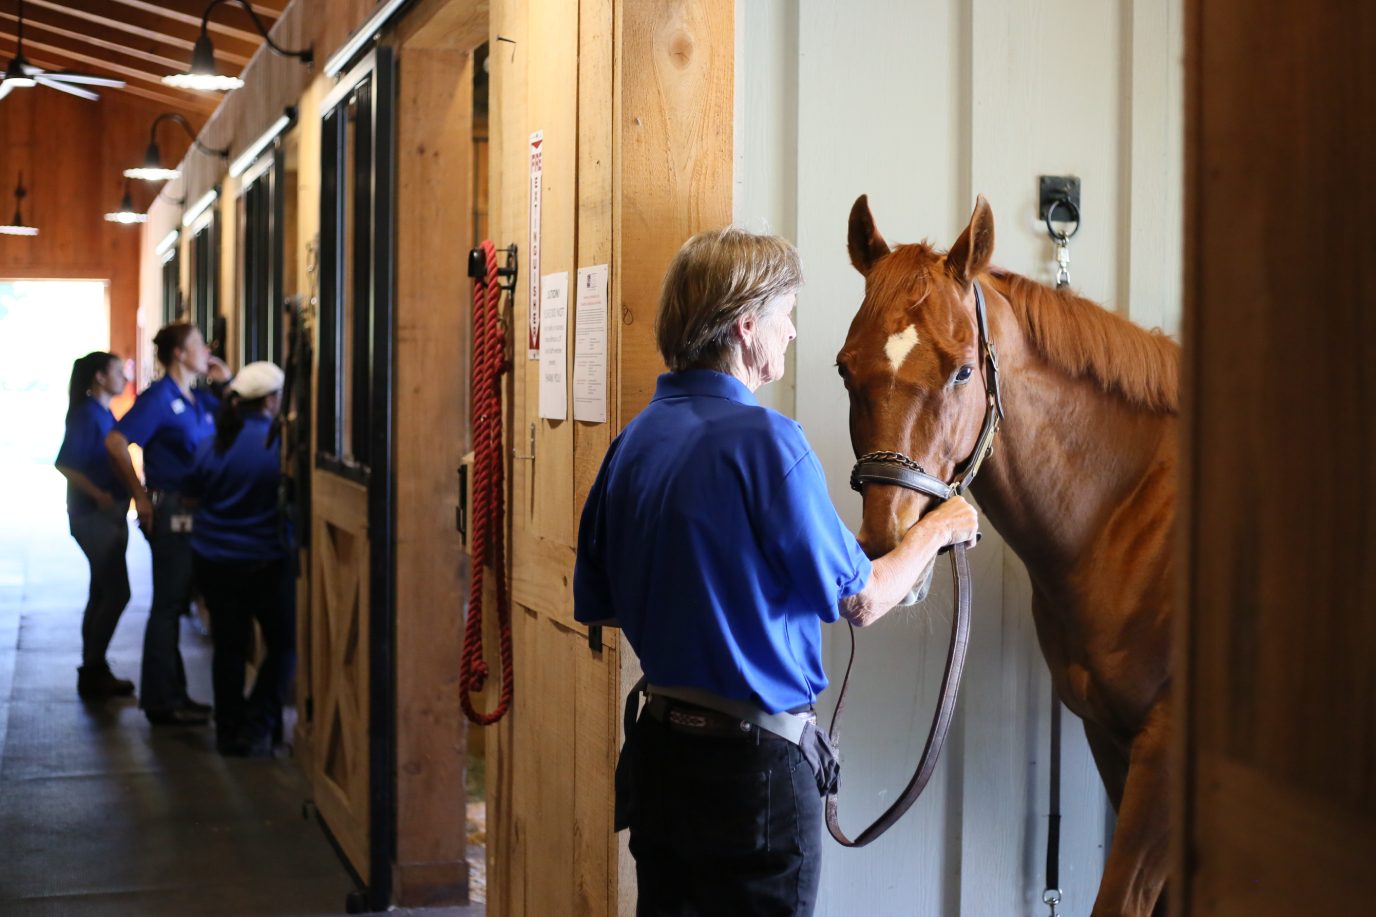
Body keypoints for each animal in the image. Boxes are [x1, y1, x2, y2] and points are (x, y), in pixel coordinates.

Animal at [842, 194, 1177, 914]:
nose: (884, 548)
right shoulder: (1110, 735)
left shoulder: (1164, 748)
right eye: (845, 368)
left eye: (963, 369)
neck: (1134, 509)